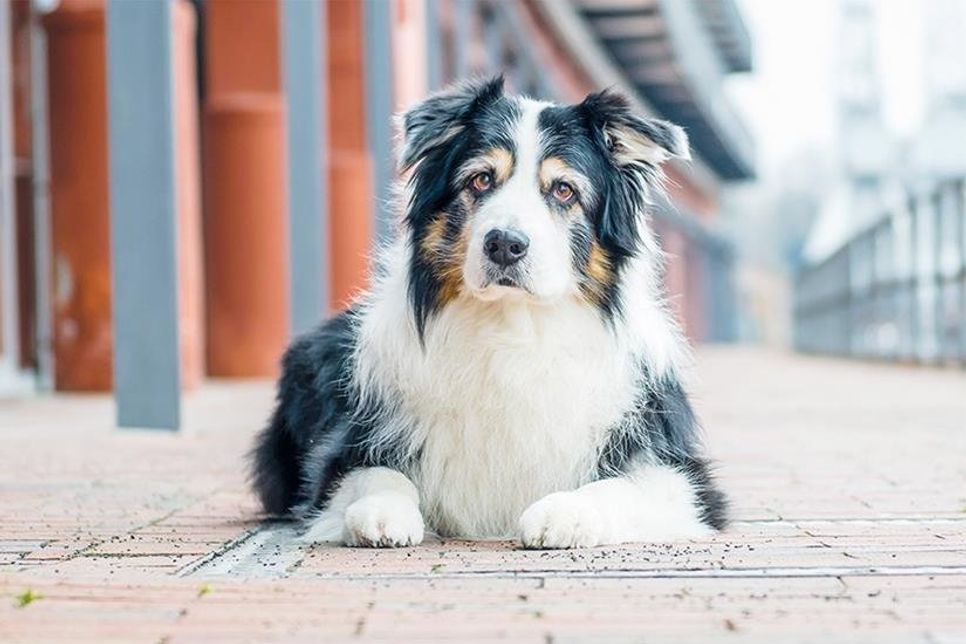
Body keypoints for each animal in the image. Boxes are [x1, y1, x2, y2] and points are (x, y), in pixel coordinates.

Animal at [250, 76, 728, 548]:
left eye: (564, 190)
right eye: (480, 179)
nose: (504, 243)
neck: (512, 327)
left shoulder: (684, 478)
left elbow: (614, 486)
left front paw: (564, 512)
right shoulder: (343, 450)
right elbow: (375, 473)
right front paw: (381, 511)